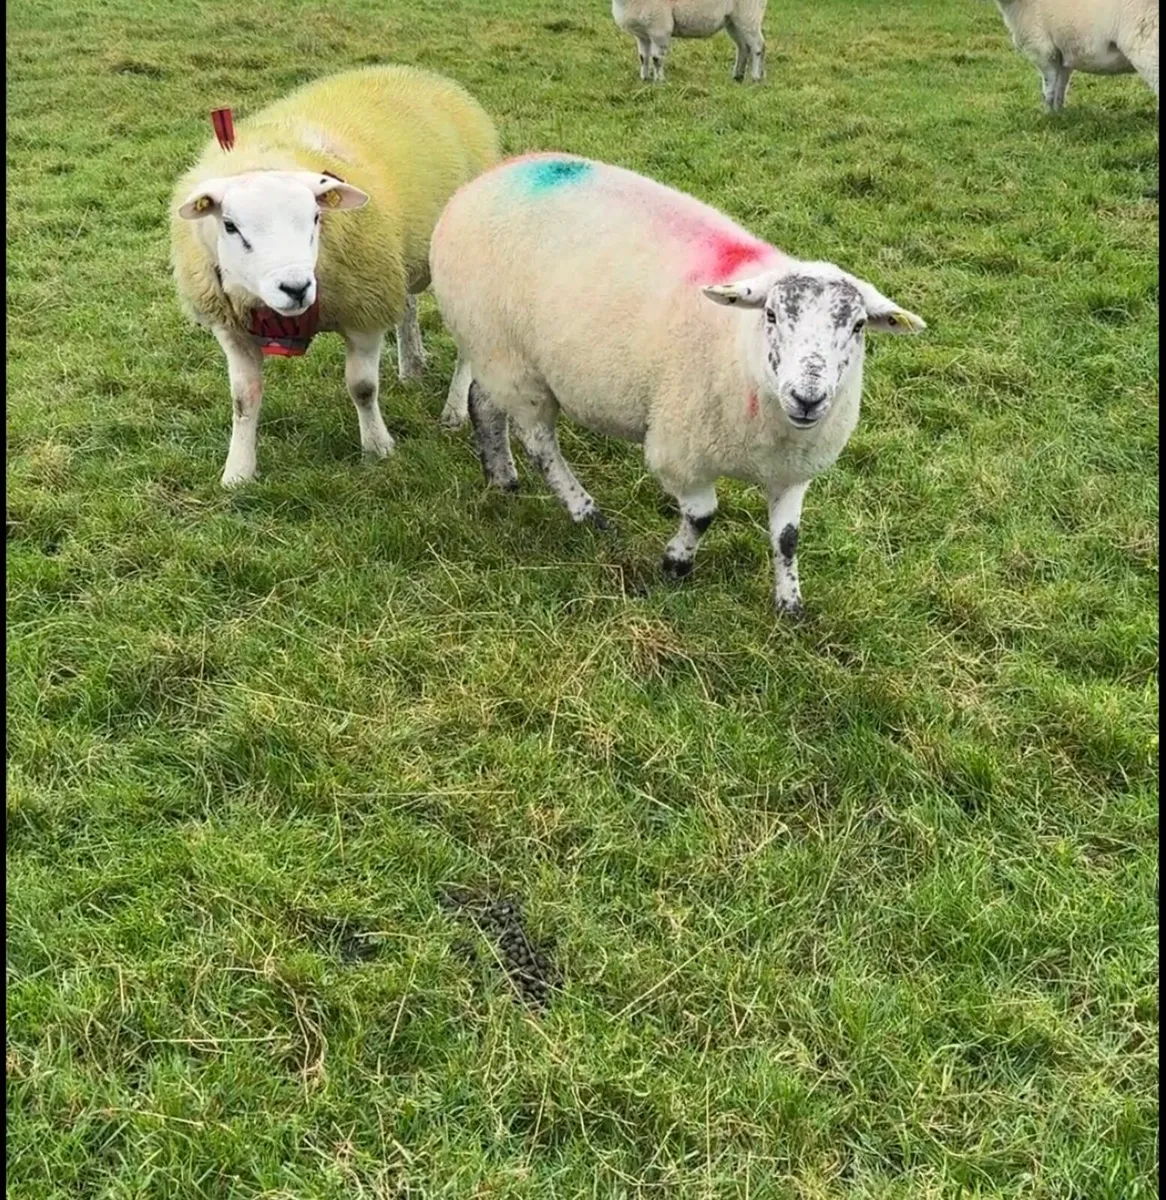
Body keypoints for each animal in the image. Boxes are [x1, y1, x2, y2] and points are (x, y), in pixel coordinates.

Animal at [170, 65, 499, 487]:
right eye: (229, 225)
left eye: (315, 217)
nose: (295, 287)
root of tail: (419, 75)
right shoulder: (232, 326)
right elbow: (243, 399)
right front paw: (238, 472)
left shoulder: (364, 311)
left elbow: (362, 388)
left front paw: (378, 448)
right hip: (400, 257)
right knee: (407, 305)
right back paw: (411, 366)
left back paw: (454, 410)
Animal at [429, 154, 925, 618]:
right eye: (770, 314)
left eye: (858, 326)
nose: (807, 398)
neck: (739, 347)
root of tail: (488, 177)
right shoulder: (678, 451)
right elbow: (703, 514)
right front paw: (676, 563)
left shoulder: (793, 470)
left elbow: (787, 538)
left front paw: (790, 605)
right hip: (513, 361)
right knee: (539, 443)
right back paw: (586, 512)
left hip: (494, 351)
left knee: (483, 404)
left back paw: (501, 478)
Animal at [612, 0, 767, 82]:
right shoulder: (642, 35)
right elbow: (643, 57)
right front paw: (644, 79)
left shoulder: (659, 28)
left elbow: (656, 59)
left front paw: (659, 81)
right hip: (732, 20)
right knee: (743, 47)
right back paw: (737, 76)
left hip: (749, 13)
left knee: (758, 46)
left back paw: (755, 78)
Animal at [989, 0, 1158, 110]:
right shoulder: (1062, 55)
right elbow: (1060, 88)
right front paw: (1058, 115)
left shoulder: (1043, 51)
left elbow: (1048, 89)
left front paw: (1047, 116)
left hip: (1148, 45)